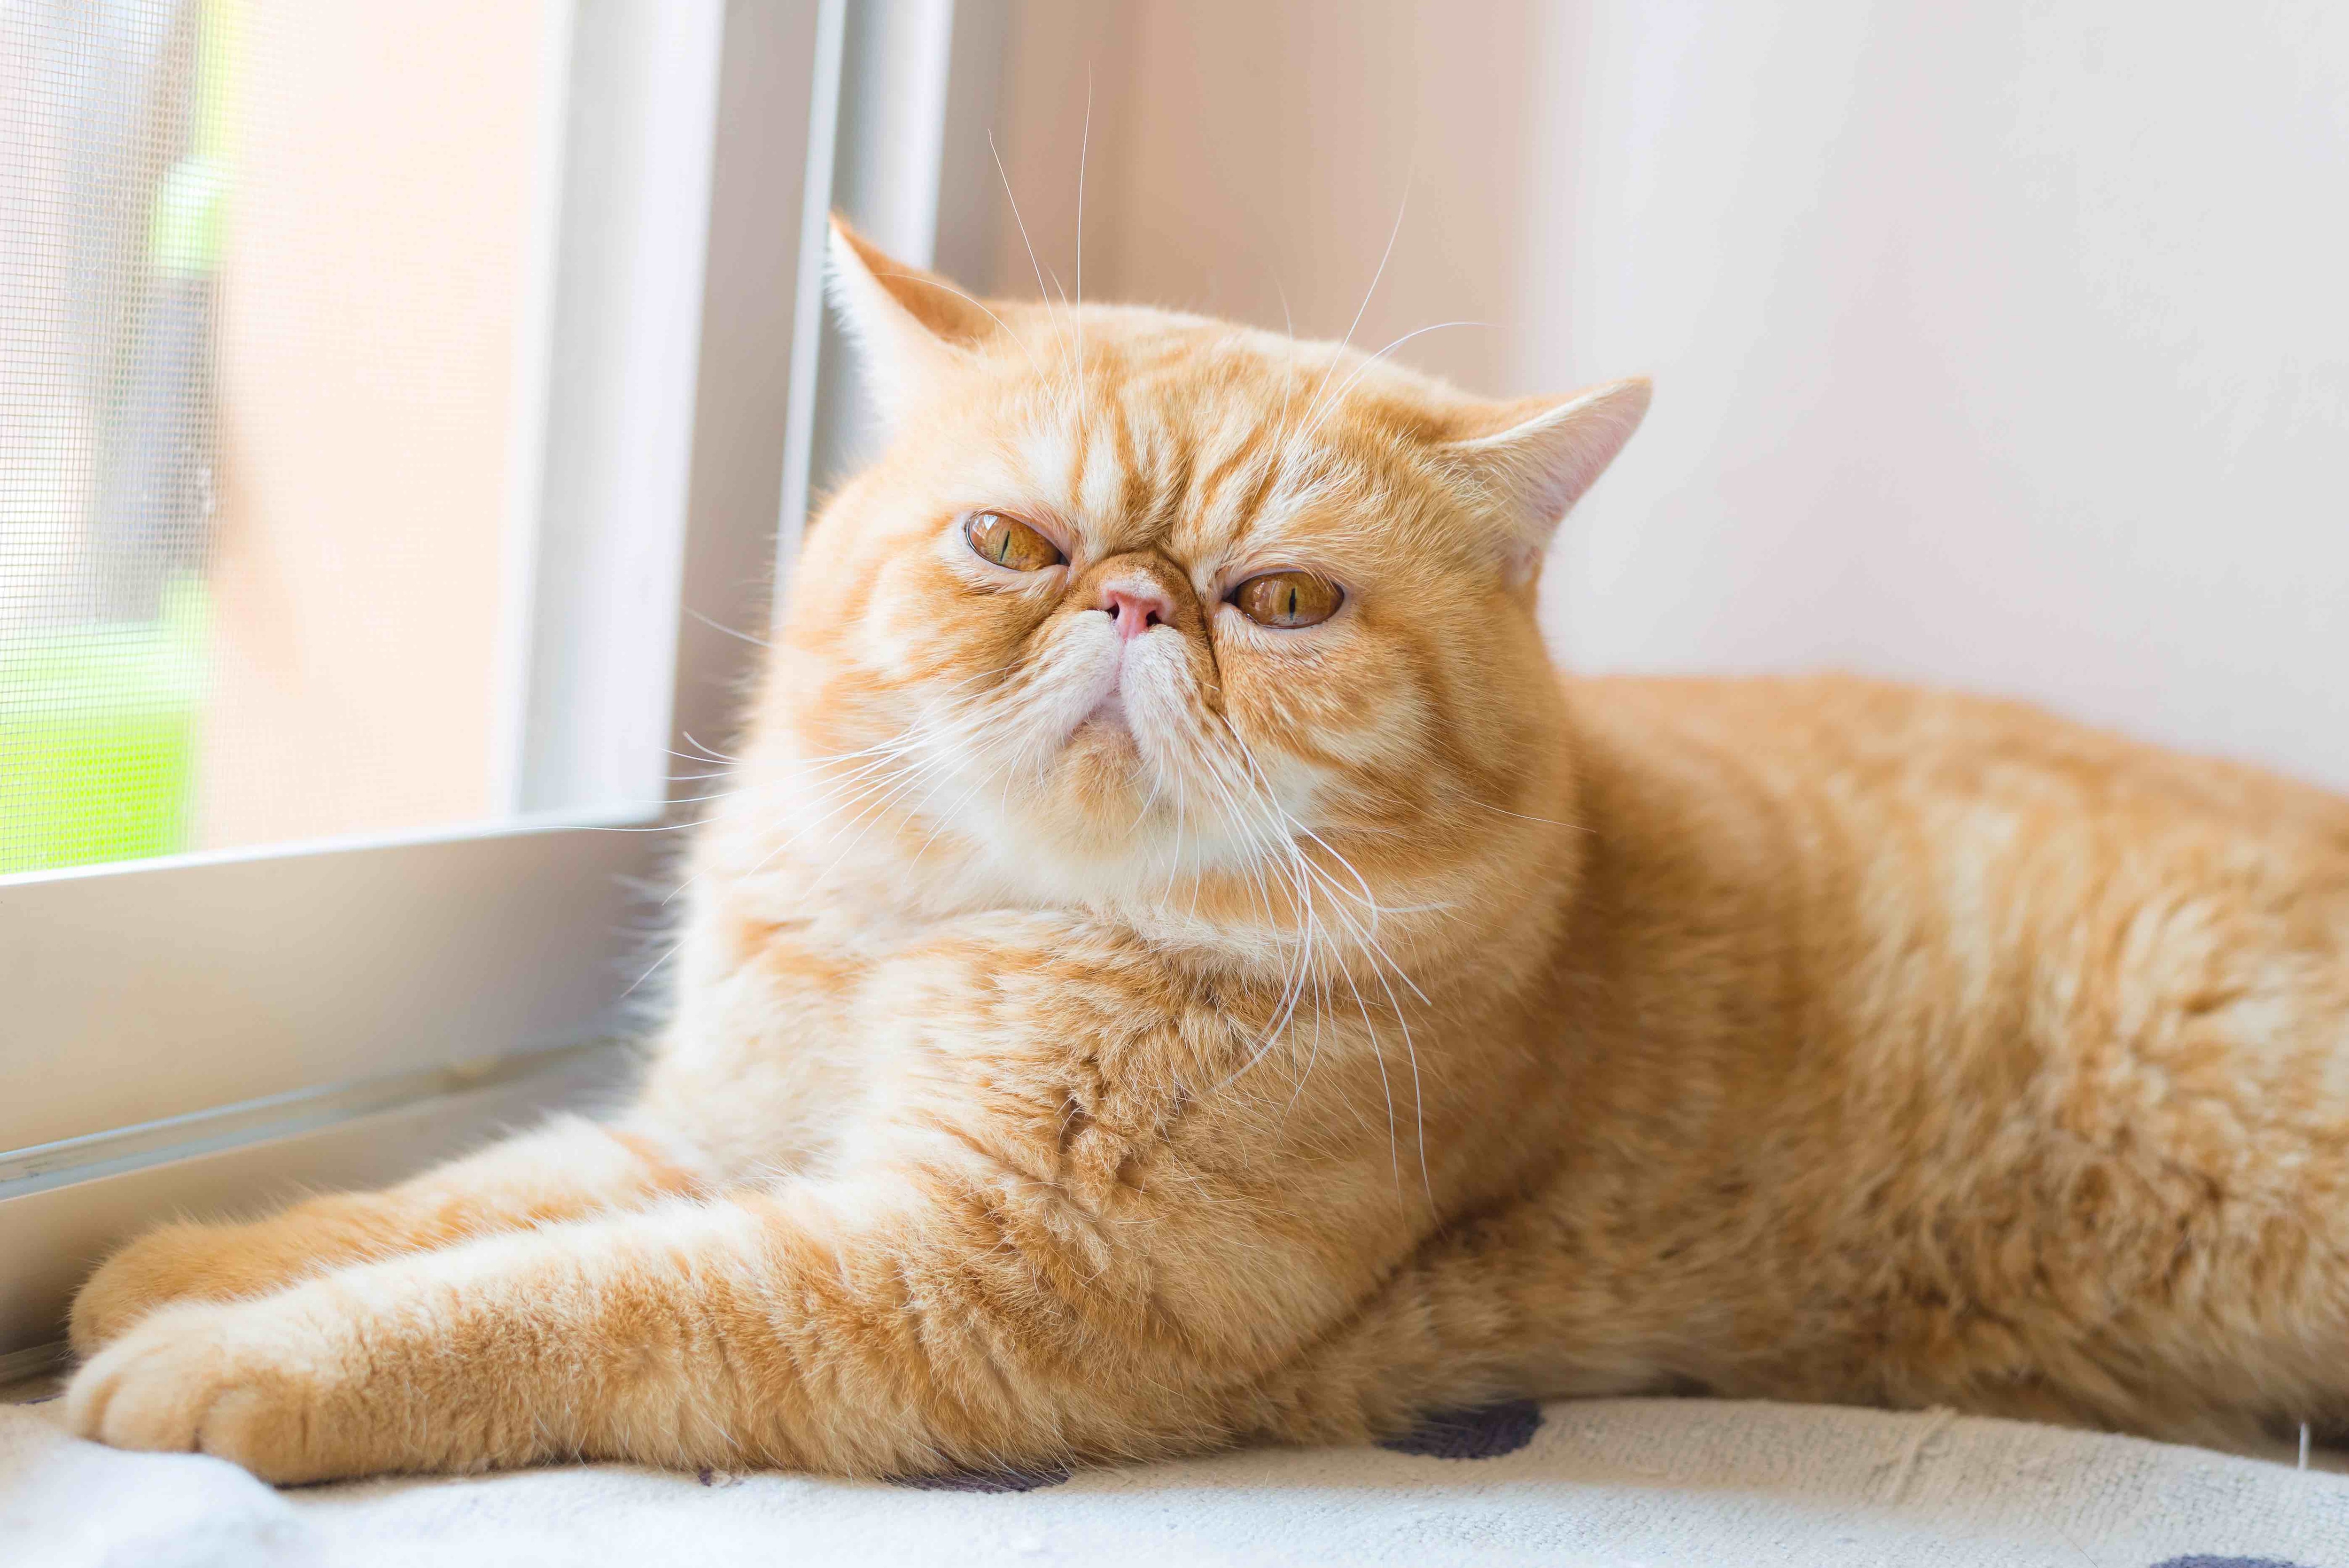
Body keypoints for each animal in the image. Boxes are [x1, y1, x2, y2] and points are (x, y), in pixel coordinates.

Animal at [55, 220, 2349, 1483]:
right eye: (1011, 540)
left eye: (1284, 601)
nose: (1136, 598)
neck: (955, 922)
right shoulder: (725, 1130)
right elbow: (478, 1193)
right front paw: (194, 1258)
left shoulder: (959, 1283)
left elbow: (546, 1296)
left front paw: (229, 1354)